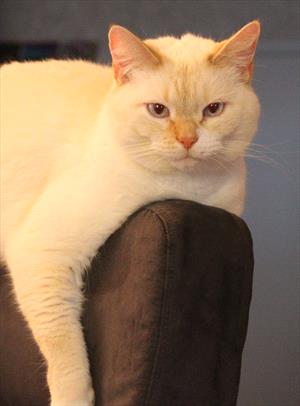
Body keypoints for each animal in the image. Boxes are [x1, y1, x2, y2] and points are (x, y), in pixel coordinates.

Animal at [0, 20, 260, 404]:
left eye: (213, 109)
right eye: (158, 110)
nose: (187, 140)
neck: (185, 191)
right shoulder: (43, 253)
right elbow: (65, 348)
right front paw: (75, 398)